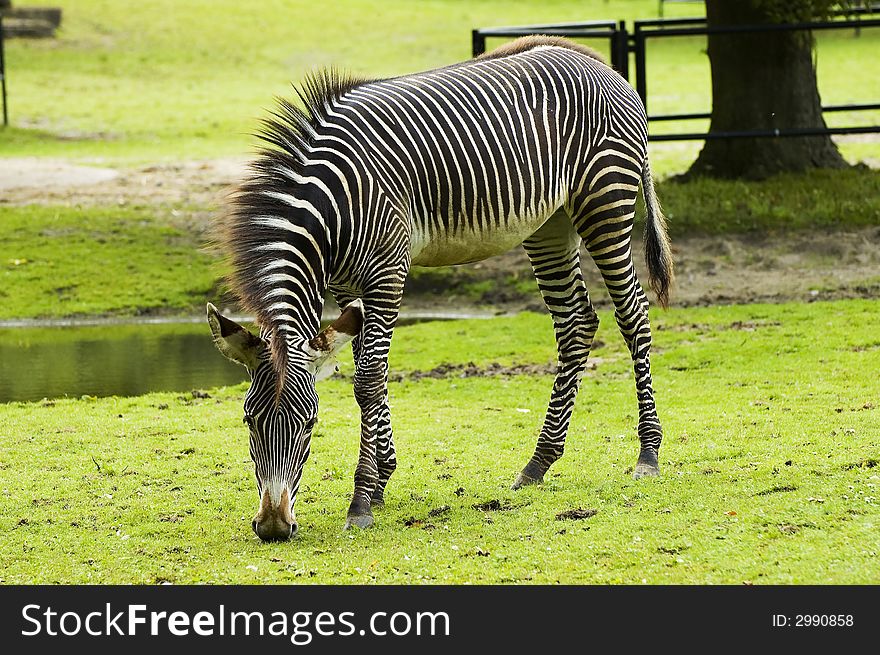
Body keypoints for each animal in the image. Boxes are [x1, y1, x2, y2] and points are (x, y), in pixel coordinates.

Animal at [206, 33, 672, 540]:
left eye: (310, 423)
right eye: (248, 420)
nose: (274, 526)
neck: (332, 205)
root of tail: (597, 61)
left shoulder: (388, 270)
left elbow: (368, 380)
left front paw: (361, 500)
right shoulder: (347, 285)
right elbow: (368, 372)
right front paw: (381, 480)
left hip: (605, 202)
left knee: (633, 316)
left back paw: (648, 453)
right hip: (550, 222)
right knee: (575, 323)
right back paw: (538, 463)